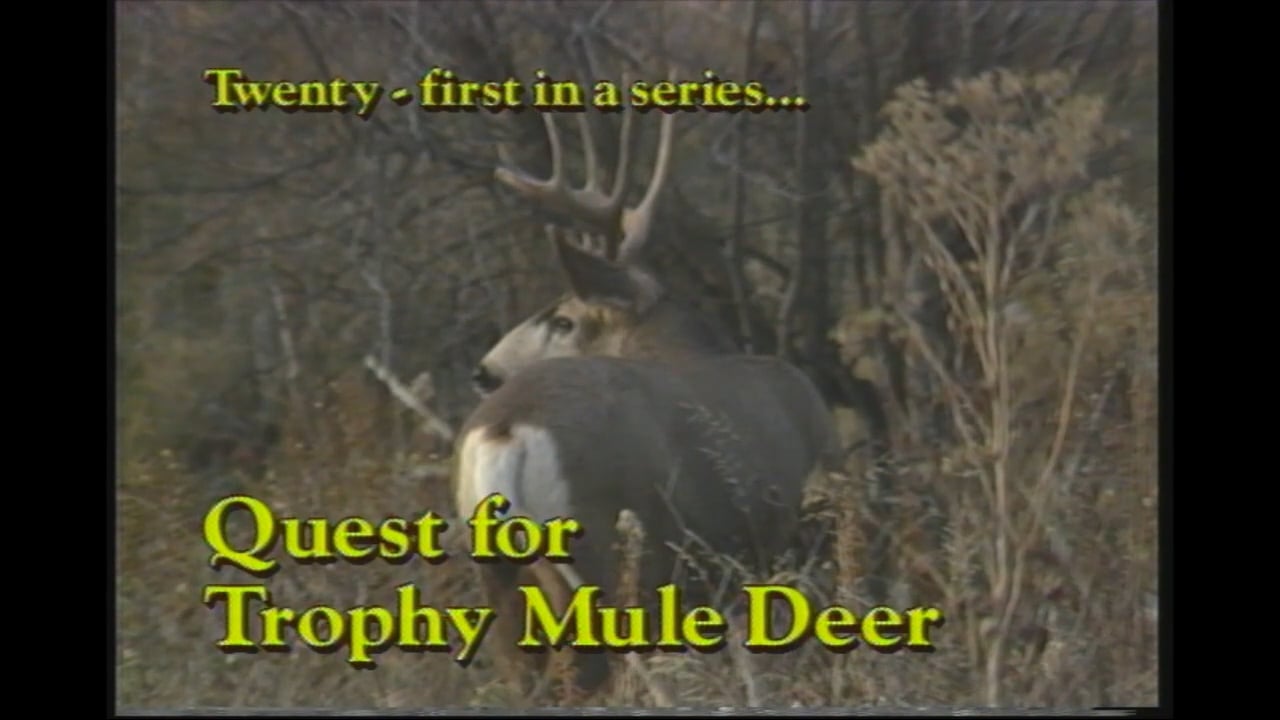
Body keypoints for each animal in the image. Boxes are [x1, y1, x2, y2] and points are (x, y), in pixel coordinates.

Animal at [450, 98, 841, 700]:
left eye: (563, 319)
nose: (483, 370)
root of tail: (505, 431)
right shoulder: (778, 538)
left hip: (499, 574)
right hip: (597, 551)